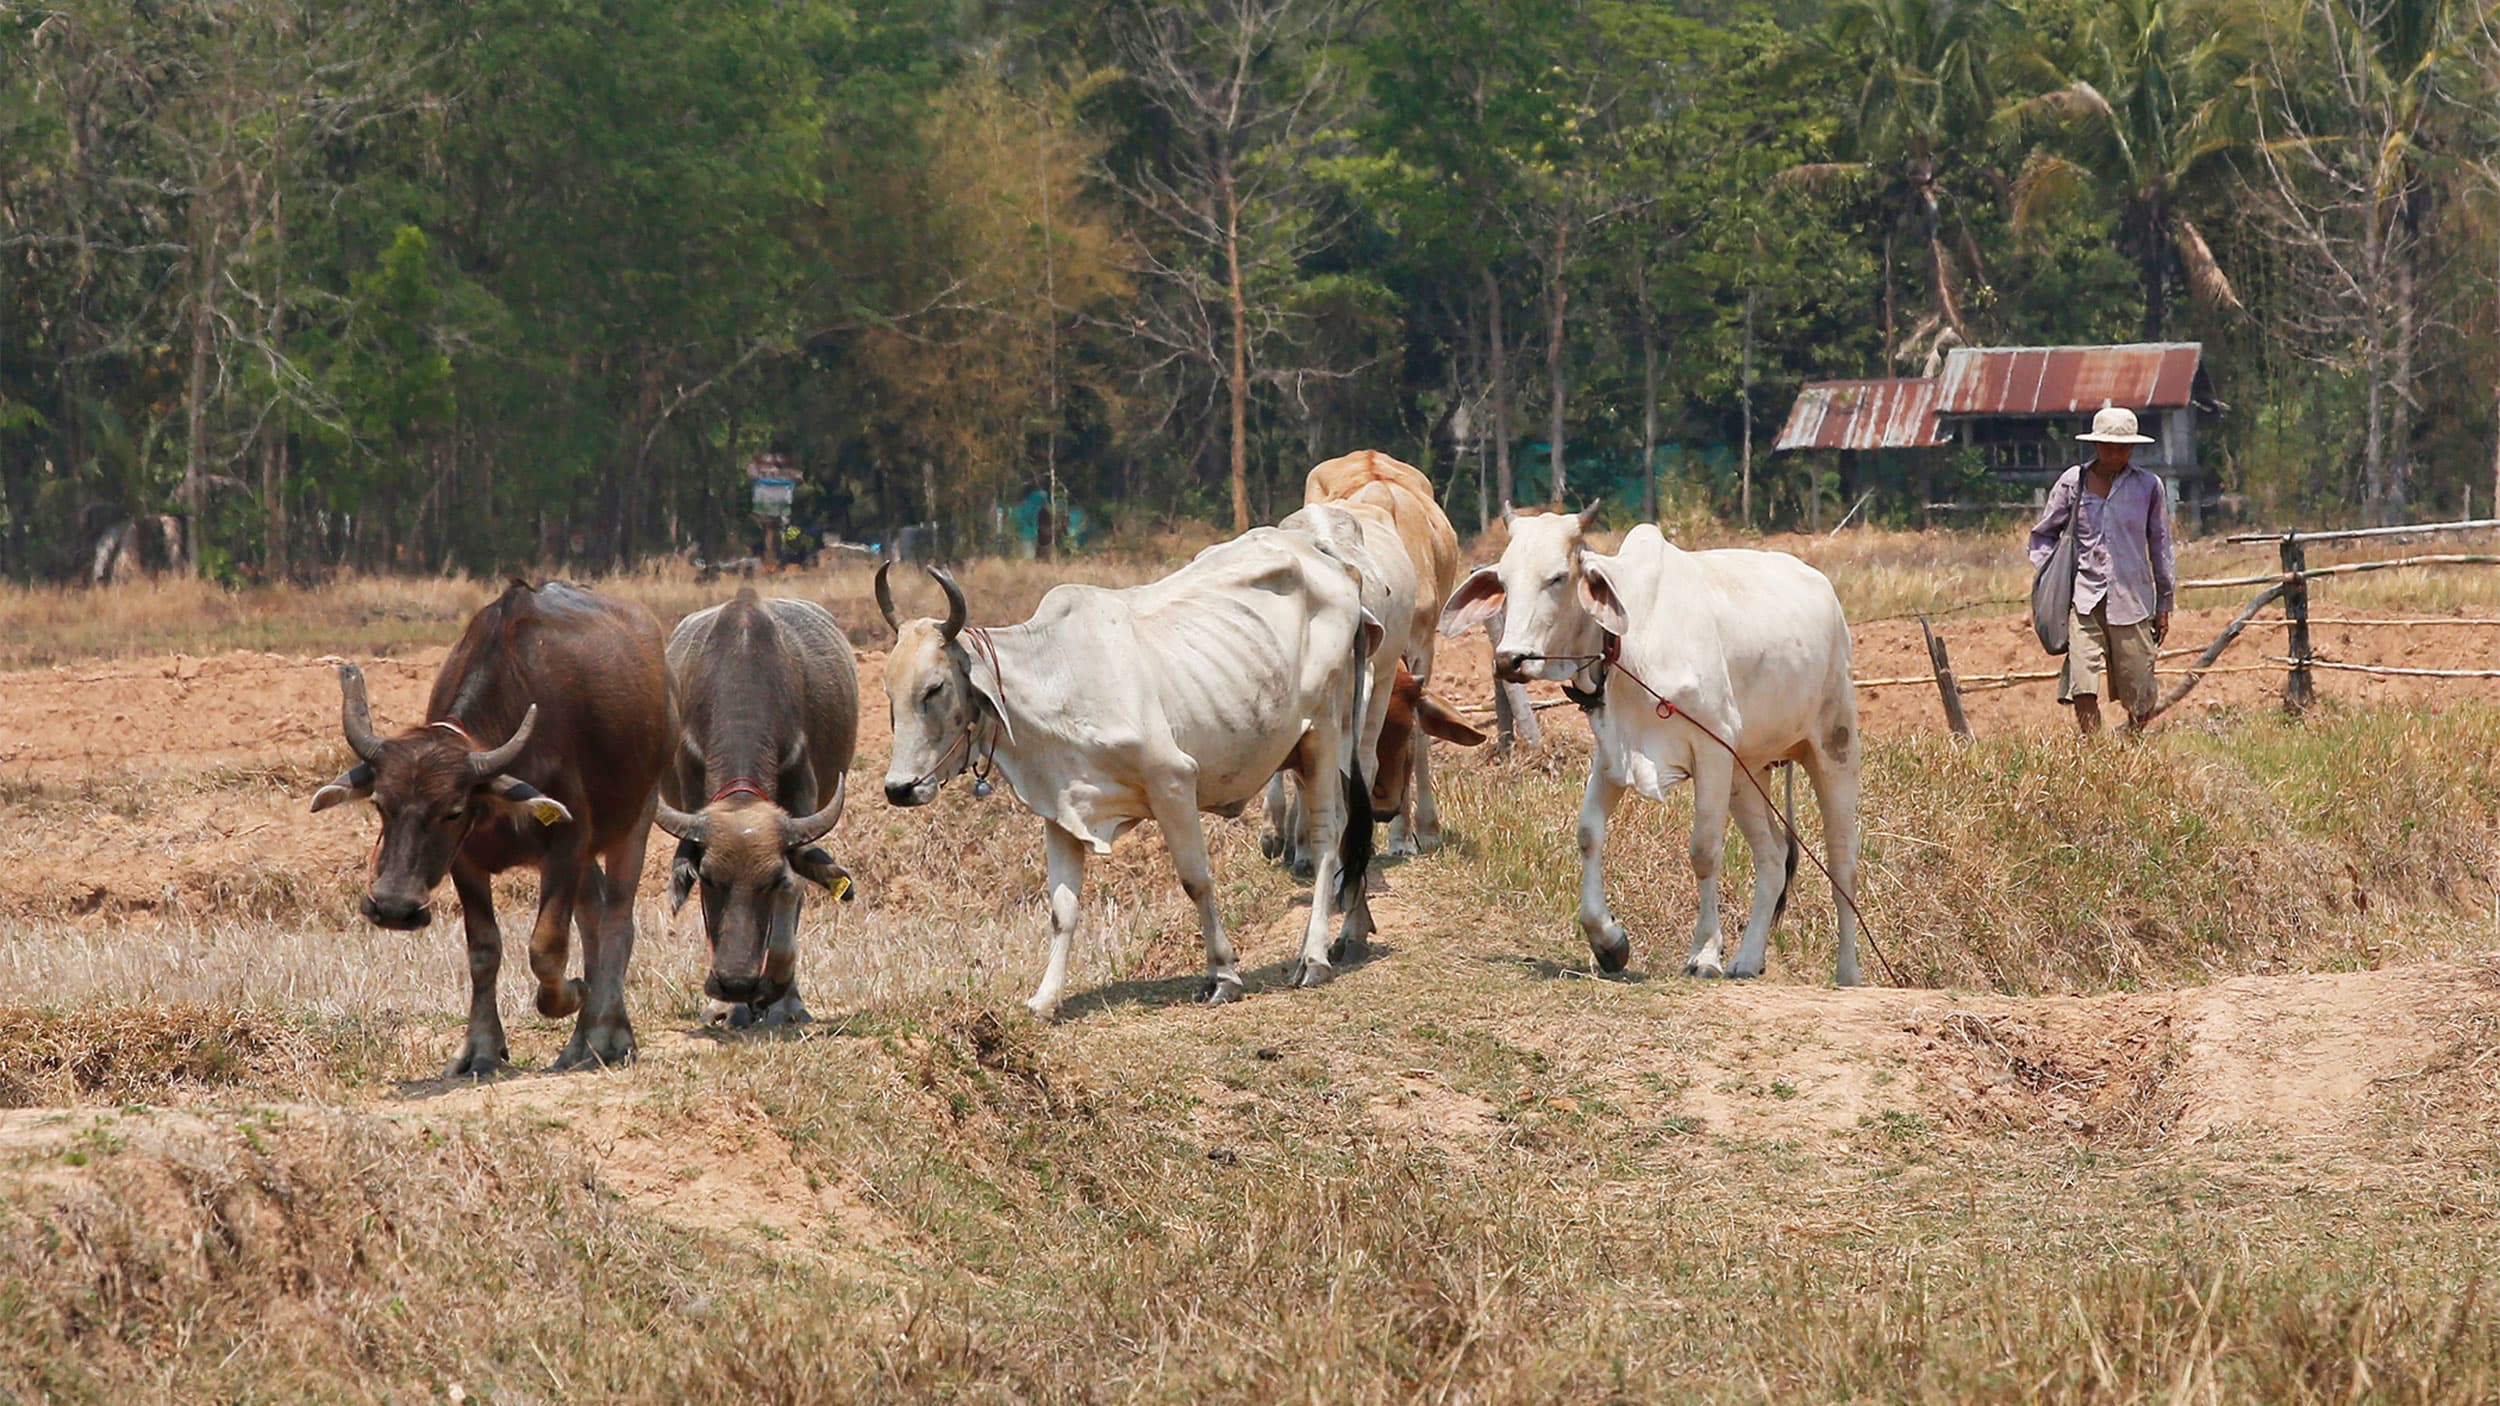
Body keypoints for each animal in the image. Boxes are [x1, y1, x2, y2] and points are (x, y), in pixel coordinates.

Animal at [308, 581, 672, 1075]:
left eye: (453, 810)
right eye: (381, 804)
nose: (395, 908)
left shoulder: (567, 844)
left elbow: (546, 947)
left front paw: (574, 993)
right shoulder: (466, 862)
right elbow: (484, 950)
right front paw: (480, 1048)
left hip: (636, 817)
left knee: (617, 918)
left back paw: (607, 1034)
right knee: (594, 917)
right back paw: (579, 1043)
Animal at [652, 588, 858, 1030]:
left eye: (771, 881)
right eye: (709, 880)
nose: (735, 984)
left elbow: (795, 890)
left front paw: (782, 997)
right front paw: (727, 1008)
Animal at [877, 534, 1379, 1020]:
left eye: (935, 688)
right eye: (888, 691)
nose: (899, 789)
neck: (1056, 679)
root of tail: (1334, 564)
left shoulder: (1173, 781)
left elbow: (1196, 881)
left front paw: (1223, 975)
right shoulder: (1060, 809)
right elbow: (1062, 909)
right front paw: (1045, 999)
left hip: (1325, 732)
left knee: (1327, 835)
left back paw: (1313, 957)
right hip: (1310, 750)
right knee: (1352, 827)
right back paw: (1353, 931)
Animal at [1441, 510, 1862, 985]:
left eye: (1558, 577)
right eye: (1505, 582)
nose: (1509, 659)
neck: (1631, 642)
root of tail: (1822, 586)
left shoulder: (1712, 749)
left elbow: (1704, 851)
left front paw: (1705, 953)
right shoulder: (1613, 753)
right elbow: (1588, 834)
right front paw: (1608, 942)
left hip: (1833, 745)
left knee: (1842, 864)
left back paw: (1848, 973)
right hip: (1746, 771)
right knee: (1773, 857)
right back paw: (1748, 958)